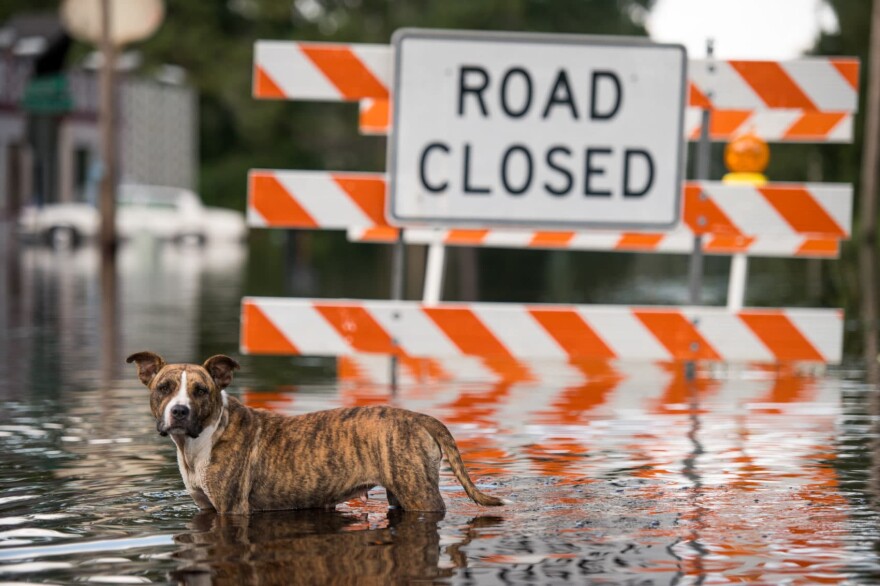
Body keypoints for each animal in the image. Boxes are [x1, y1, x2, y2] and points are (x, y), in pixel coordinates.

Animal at [127, 352, 506, 512]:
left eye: (201, 391)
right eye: (164, 387)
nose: (179, 411)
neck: (199, 441)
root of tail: (421, 418)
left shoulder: (232, 509)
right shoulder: (206, 508)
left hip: (419, 495)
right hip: (401, 491)